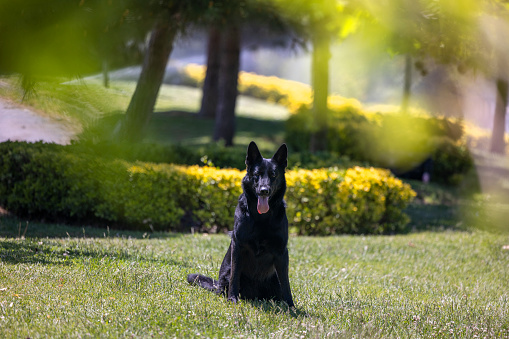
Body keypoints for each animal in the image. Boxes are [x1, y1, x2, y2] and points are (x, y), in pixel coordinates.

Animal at [188, 142, 294, 306]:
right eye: (257, 175)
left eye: (273, 175)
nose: (264, 191)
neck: (261, 218)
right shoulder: (238, 246)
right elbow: (235, 276)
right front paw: (232, 298)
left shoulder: (282, 252)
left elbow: (286, 283)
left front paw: (291, 306)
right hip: (226, 275)